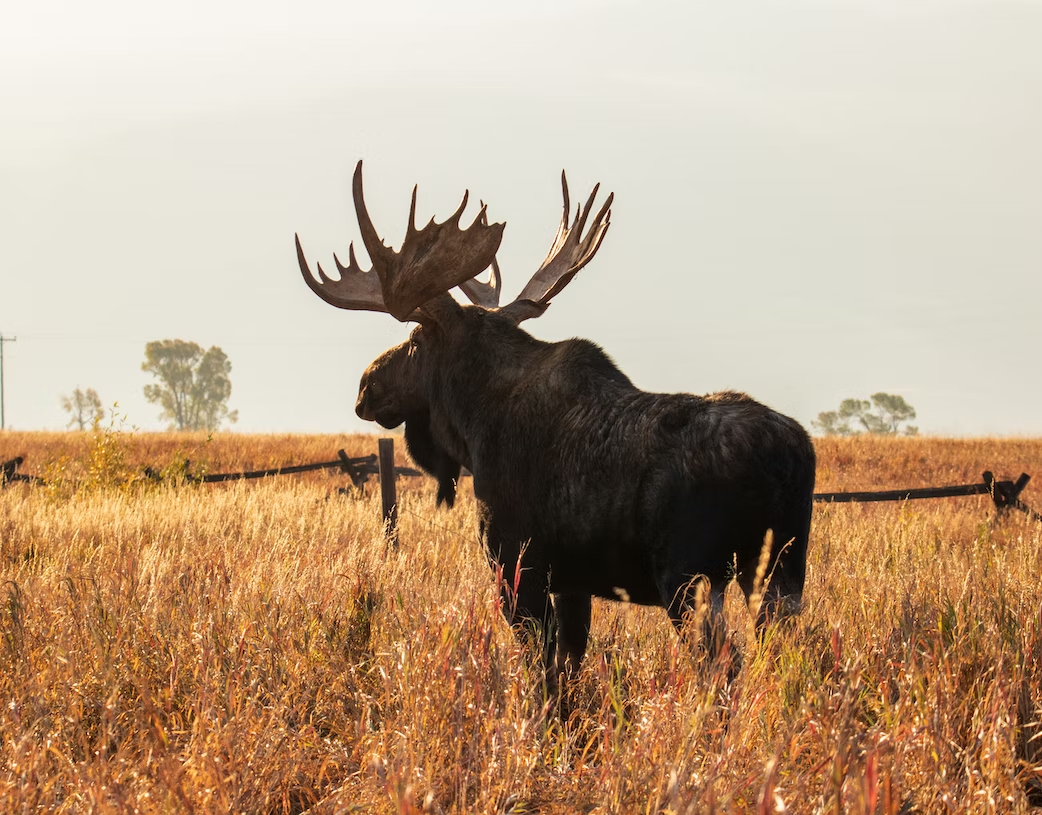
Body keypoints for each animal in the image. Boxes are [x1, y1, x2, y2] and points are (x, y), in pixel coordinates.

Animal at [293, 162, 812, 687]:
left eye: (416, 339)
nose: (366, 386)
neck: (472, 425)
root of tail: (787, 456)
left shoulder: (516, 565)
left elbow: (543, 671)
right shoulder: (571, 581)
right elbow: (570, 665)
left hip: (692, 577)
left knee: (722, 662)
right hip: (781, 572)